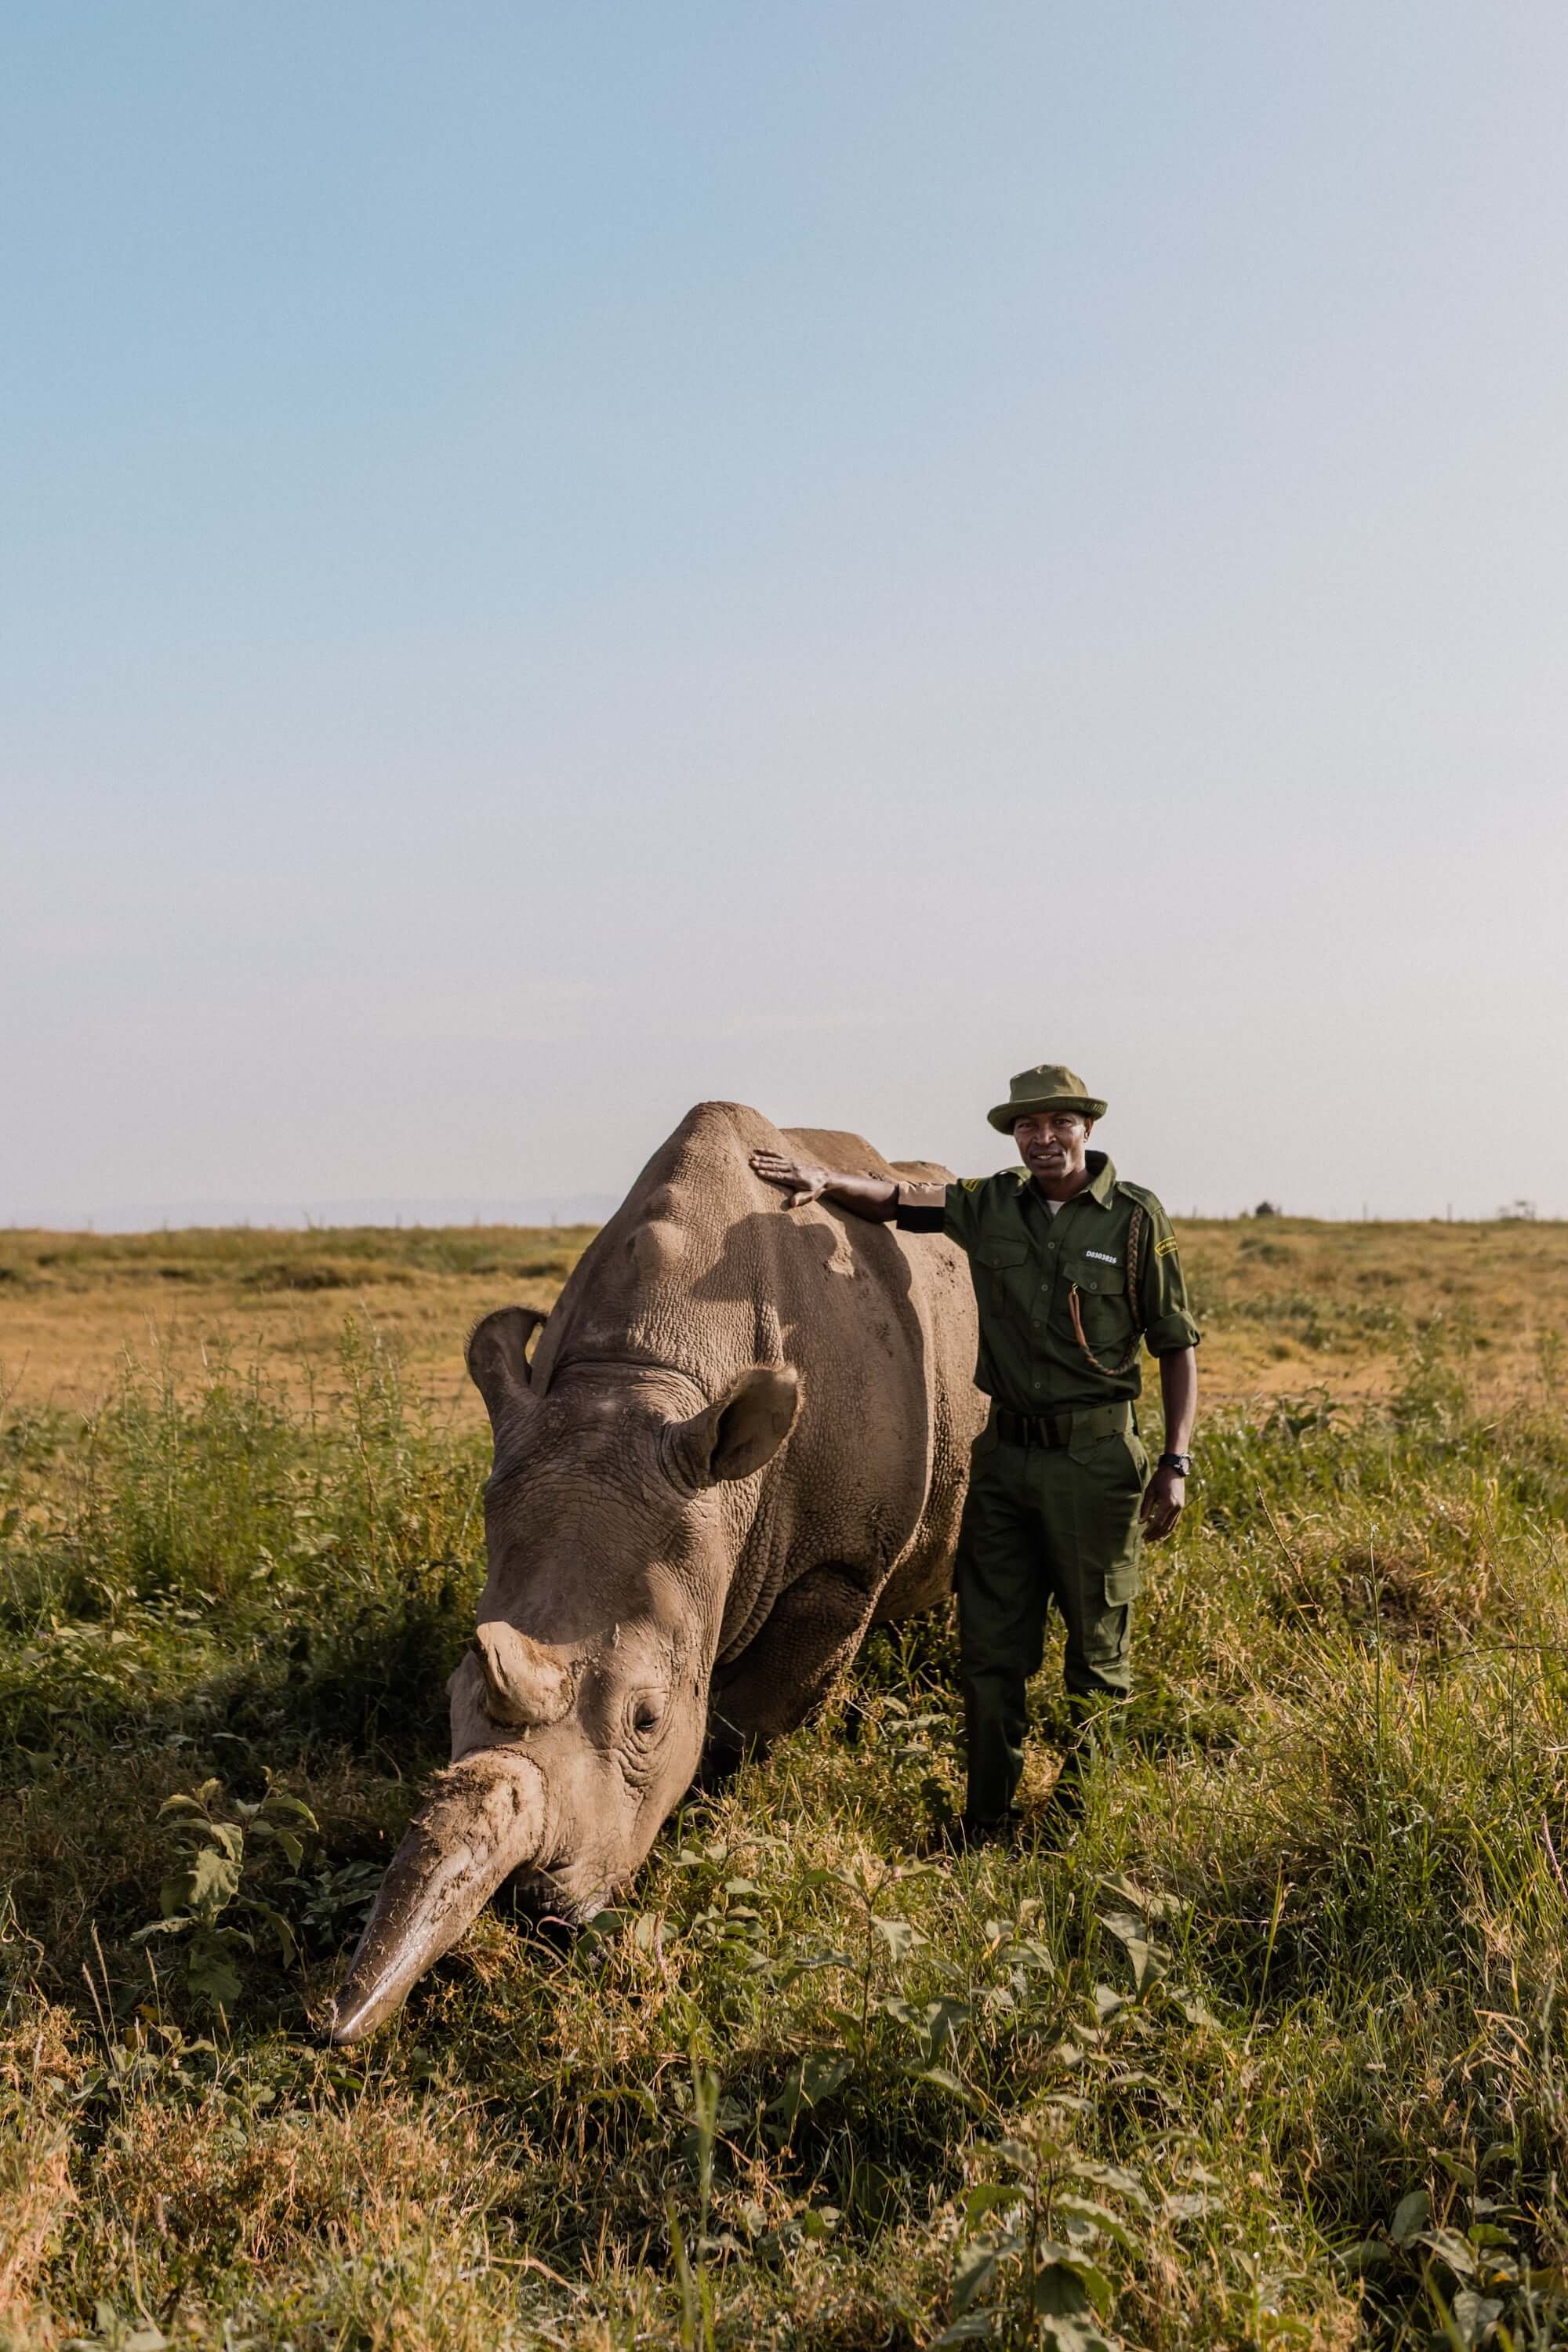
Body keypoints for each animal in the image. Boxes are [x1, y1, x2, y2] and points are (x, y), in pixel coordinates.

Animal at [329, 1101, 983, 2044]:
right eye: (452, 1692)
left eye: (647, 1718)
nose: (534, 1910)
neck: (648, 1379)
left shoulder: (838, 1563)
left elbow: (746, 1724)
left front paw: (708, 1817)